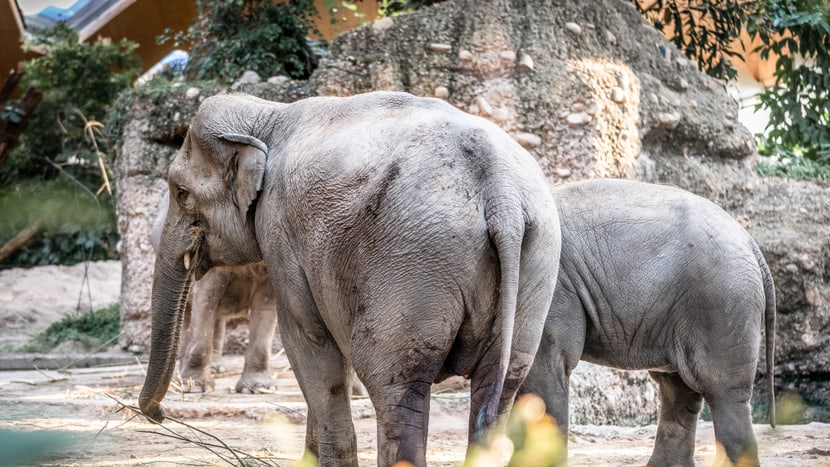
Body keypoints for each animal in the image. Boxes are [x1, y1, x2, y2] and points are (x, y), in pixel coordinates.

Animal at [150, 192, 280, 394]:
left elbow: (266, 306)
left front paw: (257, 389)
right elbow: (206, 298)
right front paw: (195, 387)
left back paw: (215, 369)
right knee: (187, 315)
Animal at [520, 179, 780, 467]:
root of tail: (751, 244)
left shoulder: (552, 287)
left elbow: (544, 364)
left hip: (722, 302)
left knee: (722, 389)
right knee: (678, 387)